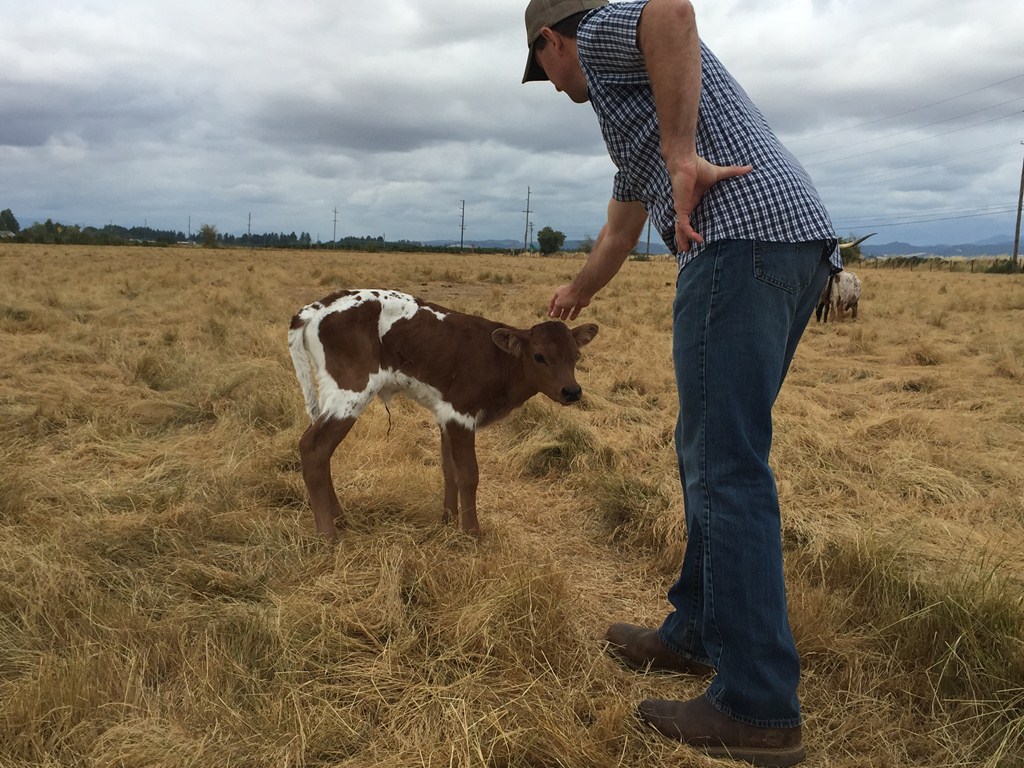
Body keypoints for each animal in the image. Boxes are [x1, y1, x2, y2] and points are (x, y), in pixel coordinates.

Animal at [288, 289, 598, 541]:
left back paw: (339, 516)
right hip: (349, 392)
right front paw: (472, 533)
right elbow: (469, 474)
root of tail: (317, 306)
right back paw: (328, 535)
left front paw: (448, 520)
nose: (572, 391)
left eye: (576, 356)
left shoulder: (445, 415)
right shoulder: (461, 414)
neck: (499, 361)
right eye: (539, 356)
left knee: (322, 453)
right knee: (313, 448)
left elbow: (450, 470)